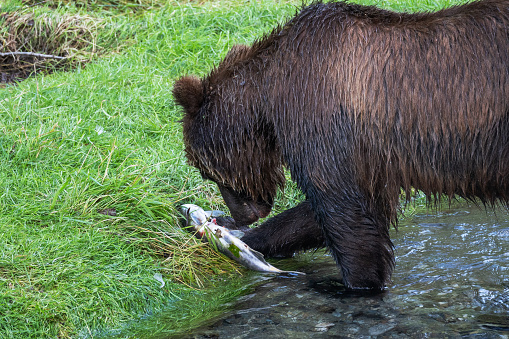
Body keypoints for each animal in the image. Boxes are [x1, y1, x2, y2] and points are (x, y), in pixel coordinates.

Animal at [173, 0, 508, 290]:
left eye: (205, 171)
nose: (241, 214)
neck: (267, 98)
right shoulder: (370, 160)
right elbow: (322, 214)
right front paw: (239, 236)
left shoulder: (323, 115)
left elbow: (346, 214)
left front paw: (358, 284)